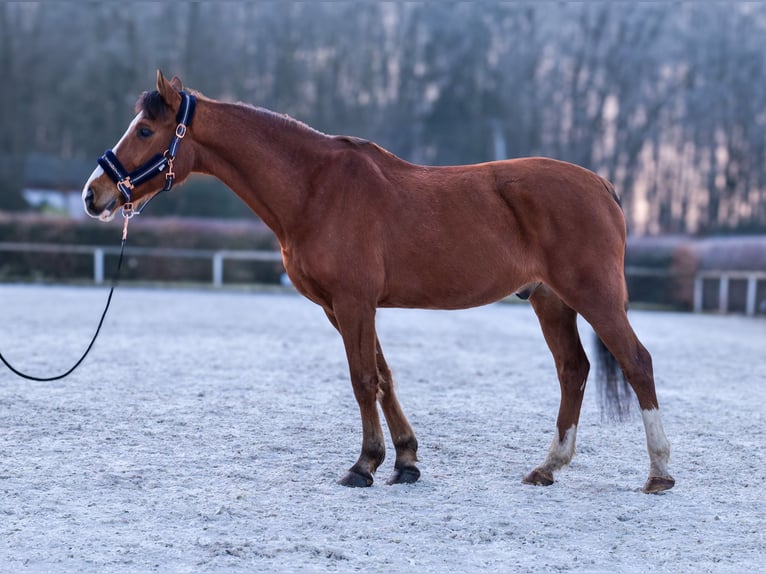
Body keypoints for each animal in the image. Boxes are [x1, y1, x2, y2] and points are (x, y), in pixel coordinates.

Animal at [81, 71, 676, 496]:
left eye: (144, 130)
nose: (93, 194)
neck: (315, 189)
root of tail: (601, 184)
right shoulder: (344, 307)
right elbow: (385, 377)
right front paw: (406, 460)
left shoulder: (353, 302)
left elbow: (363, 379)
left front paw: (365, 464)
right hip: (551, 302)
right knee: (573, 370)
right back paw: (548, 467)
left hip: (594, 296)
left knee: (637, 361)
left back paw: (659, 473)